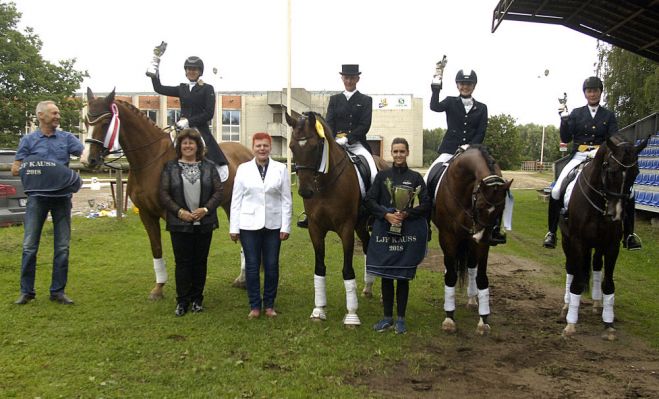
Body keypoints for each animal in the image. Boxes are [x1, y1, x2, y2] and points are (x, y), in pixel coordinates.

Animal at [78, 88, 253, 300]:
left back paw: (244, 278)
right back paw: (243, 277)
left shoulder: (173, 215)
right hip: (228, 204)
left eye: (105, 123)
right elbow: (156, 249)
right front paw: (158, 288)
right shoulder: (146, 214)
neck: (150, 160)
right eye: (86, 121)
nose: (88, 160)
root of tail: (248, 152)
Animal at [286, 111, 390, 326]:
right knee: (367, 246)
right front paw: (318, 310)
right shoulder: (315, 229)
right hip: (361, 226)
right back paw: (368, 287)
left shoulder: (346, 229)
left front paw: (351, 315)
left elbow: (347, 270)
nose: (305, 192)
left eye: (316, 146)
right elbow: (319, 268)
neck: (325, 183)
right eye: (292, 147)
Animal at [434, 145, 516, 336]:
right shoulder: (448, 237)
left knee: (471, 266)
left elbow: (482, 277)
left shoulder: (481, 244)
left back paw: (472, 299)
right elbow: (451, 275)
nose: (483, 238)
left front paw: (483, 320)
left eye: (501, 208)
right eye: (479, 205)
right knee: (452, 268)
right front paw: (449, 318)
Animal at [560, 135, 648, 340]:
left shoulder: (611, 245)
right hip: (567, 241)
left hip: (598, 246)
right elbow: (577, 281)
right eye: (610, 170)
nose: (616, 214)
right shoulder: (577, 242)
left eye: (636, 173)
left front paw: (608, 323)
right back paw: (567, 305)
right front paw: (571, 324)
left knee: (596, 266)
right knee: (571, 269)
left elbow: (608, 284)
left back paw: (597, 303)